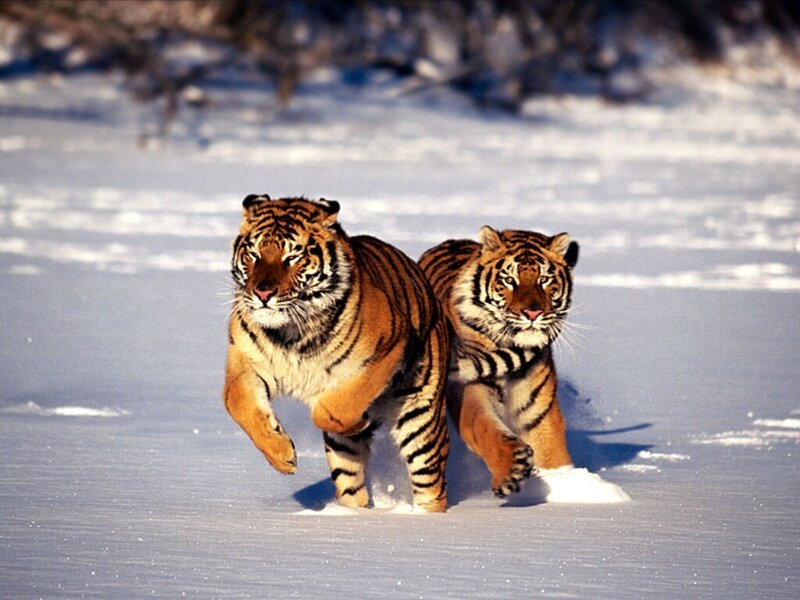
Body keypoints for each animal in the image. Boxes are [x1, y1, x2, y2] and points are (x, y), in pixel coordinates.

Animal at [224, 195, 450, 512]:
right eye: (253, 254)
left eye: (292, 257)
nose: (262, 293)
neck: (290, 333)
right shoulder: (245, 361)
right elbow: (237, 404)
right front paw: (283, 456)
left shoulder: (386, 350)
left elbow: (332, 410)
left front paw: (359, 420)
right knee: (351, 484)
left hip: (421, 419)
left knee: (431, 484)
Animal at [419, 225, 579, 498]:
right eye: (509, 280)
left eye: (545, 280)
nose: (533, 313)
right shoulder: (469, 389)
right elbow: (484, 428)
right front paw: (511, 468)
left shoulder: (539, 412)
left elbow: (552, 452)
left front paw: (570, 485)